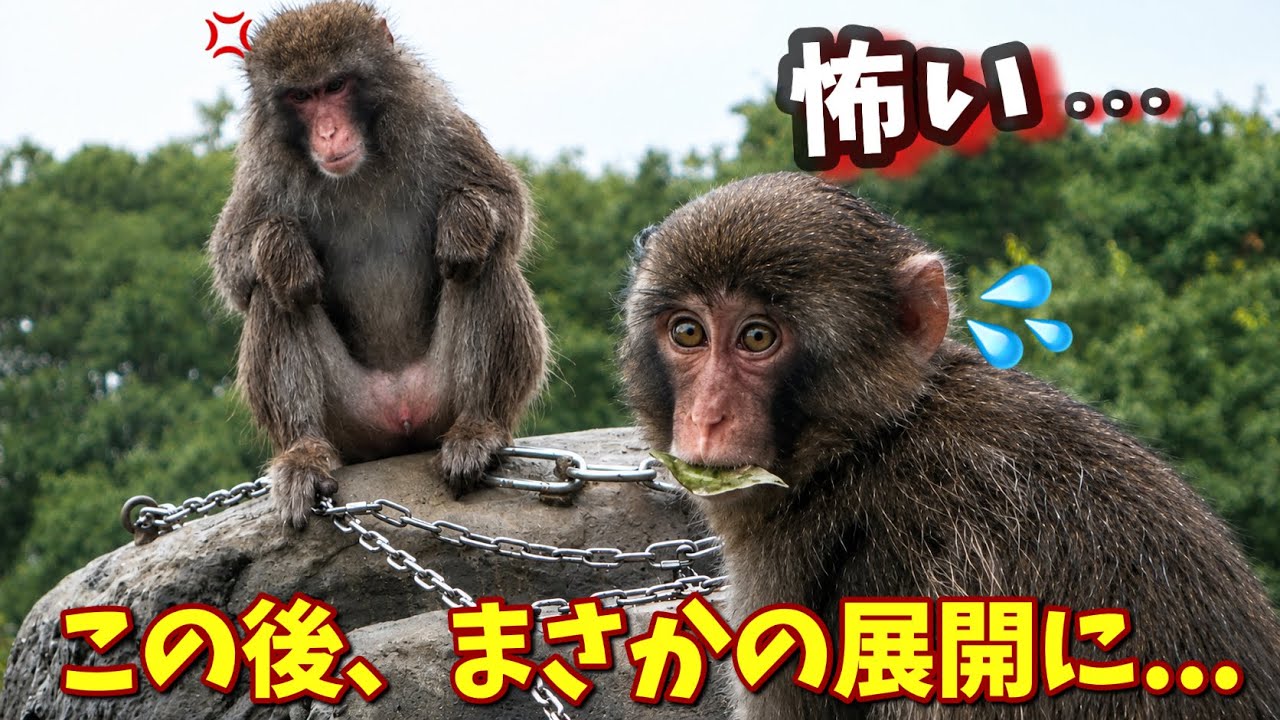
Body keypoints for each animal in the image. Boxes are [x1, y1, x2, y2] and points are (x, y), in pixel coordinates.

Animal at [208, 1, 547, 528]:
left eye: (335, 86)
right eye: (301, 96)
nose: (328, 132)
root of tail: (399, 416)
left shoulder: (438, 125)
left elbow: (508, 212)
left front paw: (464, 218)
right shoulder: (264, 168)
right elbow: (235, 269)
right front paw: (283, 248)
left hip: (438, 401)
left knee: (483, 261)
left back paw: (478, 426)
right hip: (350, 423)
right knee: (274, 293)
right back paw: (303, 450)